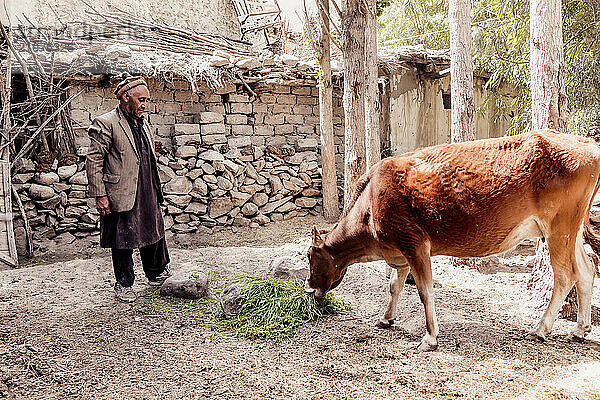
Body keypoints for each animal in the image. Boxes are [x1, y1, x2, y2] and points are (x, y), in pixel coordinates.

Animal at [308, 130, 600, 350]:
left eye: (310, 258)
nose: (309, 289)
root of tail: (587, 144)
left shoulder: (414, 244)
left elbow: (425, 291)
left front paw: (430, 338)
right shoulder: (401, 251)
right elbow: (394, 286)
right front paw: (386, 318)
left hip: (558, 228)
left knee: (565, 275)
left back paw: (540, 329)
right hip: (570, 230)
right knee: (586, 270)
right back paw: (579, 330)